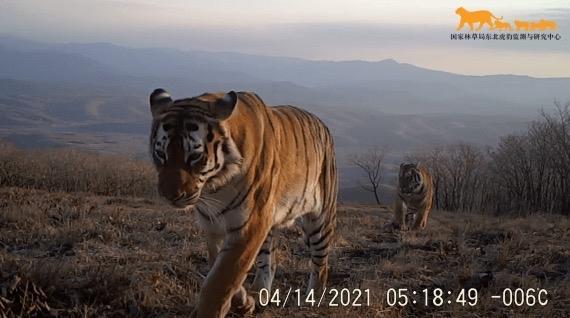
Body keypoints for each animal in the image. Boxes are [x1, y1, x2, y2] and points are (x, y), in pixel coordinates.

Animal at [149, 88, 340, 316]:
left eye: (194, 156)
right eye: (161, 153)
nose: (170, 195)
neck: (215, 188)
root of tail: (322, 124)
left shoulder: (249, 225)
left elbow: (220, 280)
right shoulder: (215, 225)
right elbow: (220, 267)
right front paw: (243, 302)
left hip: (320, 219)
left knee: (321, 263)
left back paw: (312, 299)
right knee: (269, 262)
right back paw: (259, 294)